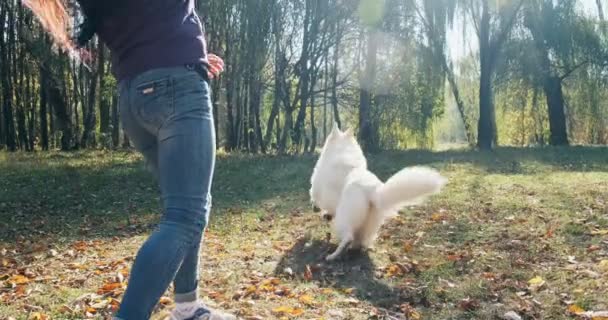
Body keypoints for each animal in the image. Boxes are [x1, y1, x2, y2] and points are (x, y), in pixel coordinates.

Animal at [308, 124, 446, 262]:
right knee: (361, 239)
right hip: (370, 222)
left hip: (343, 219)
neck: (343, 151)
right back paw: (354, 248)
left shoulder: (319, 191)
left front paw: (318, 209)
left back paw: (333, 255)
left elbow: (316, 200)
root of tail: (372, 189)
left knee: (348, 237)